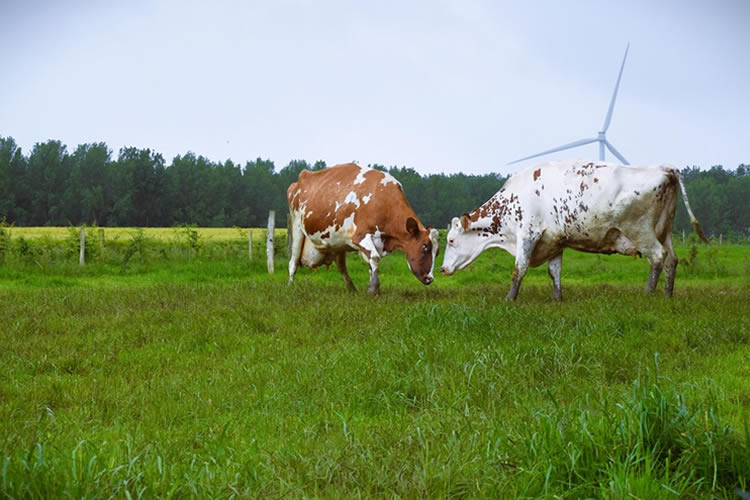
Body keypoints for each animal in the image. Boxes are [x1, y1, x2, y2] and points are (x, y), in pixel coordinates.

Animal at [288, 162, 440, 292]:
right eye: (425, 247)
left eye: (437, 252)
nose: (430, 279)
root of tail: (300, 178)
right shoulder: (360, 237)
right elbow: (375, 258)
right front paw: (374, 290)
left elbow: (371, 264)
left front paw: (371, 287)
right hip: (297, 228)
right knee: (293, 262)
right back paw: (291, 287)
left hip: (338, 242)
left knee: (342, 267)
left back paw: (352, 289)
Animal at [440, 161, 712, 300]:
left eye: (451, 240)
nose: (442, 269)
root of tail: (664, 169)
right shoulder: (554, 242)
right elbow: (554, 273)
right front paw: (557, 299)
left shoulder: (527, 235)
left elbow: (519, 270)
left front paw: (509, 299)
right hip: (665, 232)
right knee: (672, 261)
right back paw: (667, 296)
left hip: (641, 232)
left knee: (657, 258)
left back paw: (647, 294)